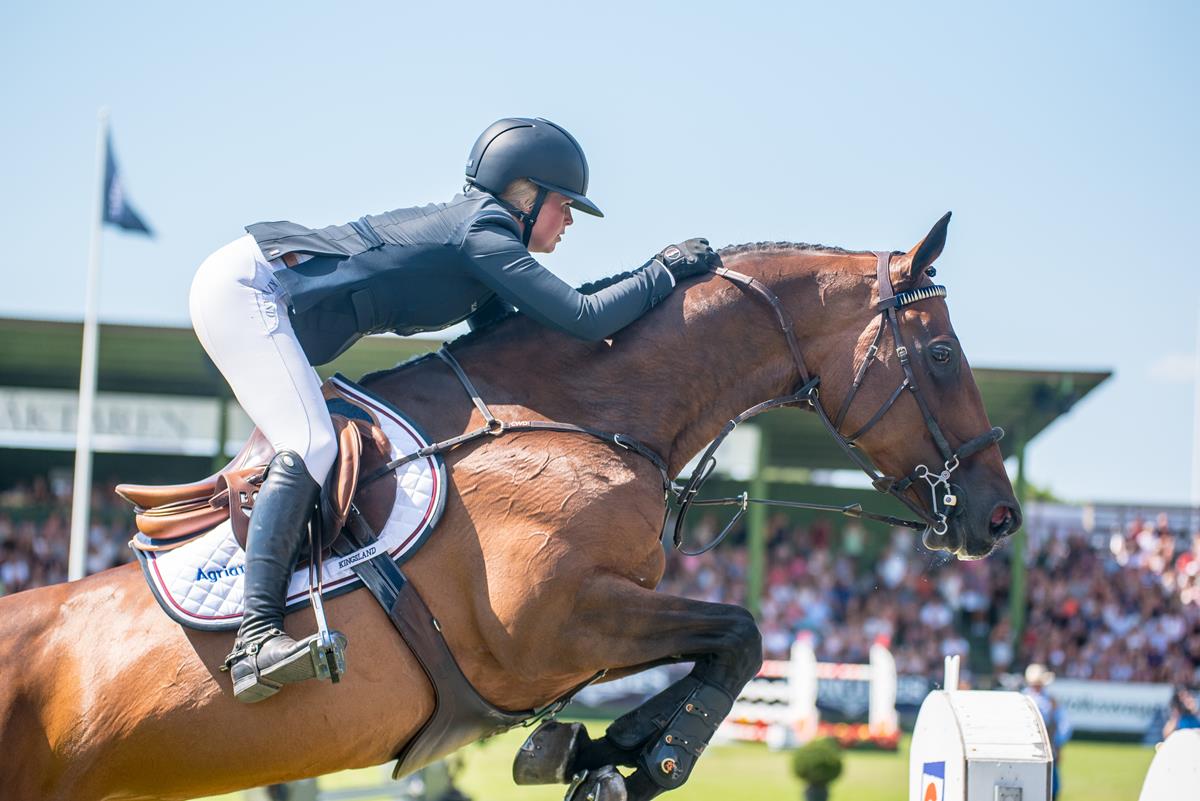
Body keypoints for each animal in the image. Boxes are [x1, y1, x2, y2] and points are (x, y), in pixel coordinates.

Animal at [0, 212, 1017, 801]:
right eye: (940, 357)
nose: (999, 518)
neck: (575, 419)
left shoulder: (583, 631)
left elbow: (725, 645)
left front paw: (600, 750)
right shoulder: (554, 625)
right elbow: (742, 631)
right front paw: (640, 757)